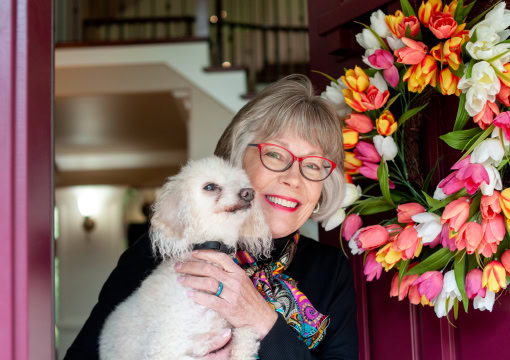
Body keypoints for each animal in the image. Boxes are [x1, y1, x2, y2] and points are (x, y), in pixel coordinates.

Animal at [98, 157, 270, 360]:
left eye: (243, 183)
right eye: (210, 187)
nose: (249, 193)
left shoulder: (239, 328)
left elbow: (245, 339)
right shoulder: (164, 350)